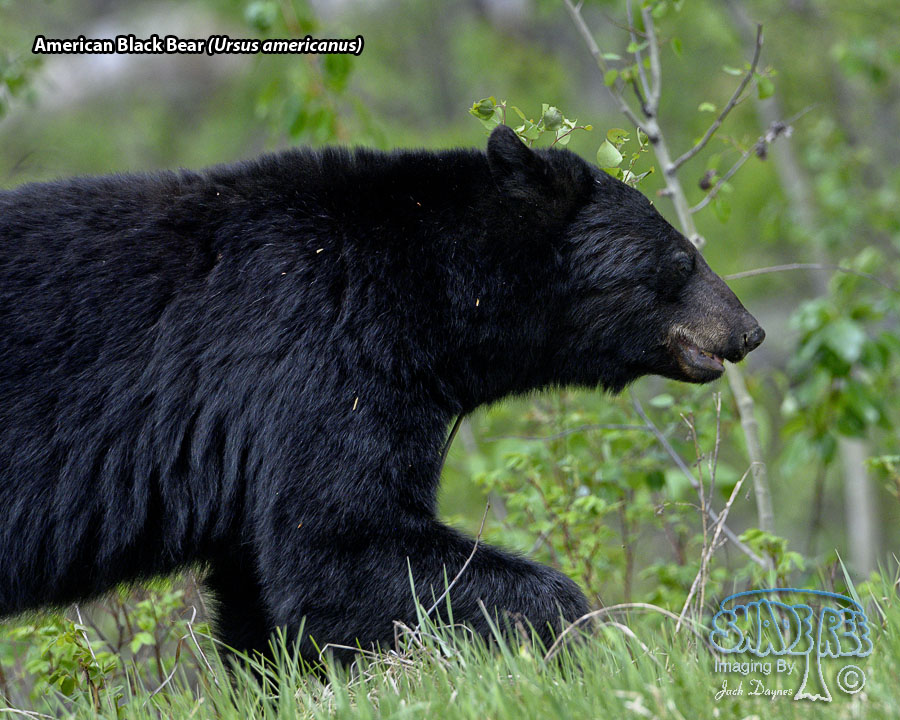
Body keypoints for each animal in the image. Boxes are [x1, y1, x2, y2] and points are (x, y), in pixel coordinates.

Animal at [0, 124, 764, 665]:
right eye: (681, 259)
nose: (748, 330)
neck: (427, 285)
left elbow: (267, 587)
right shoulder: (321, 354)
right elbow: (342, 538)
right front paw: (576, 642)